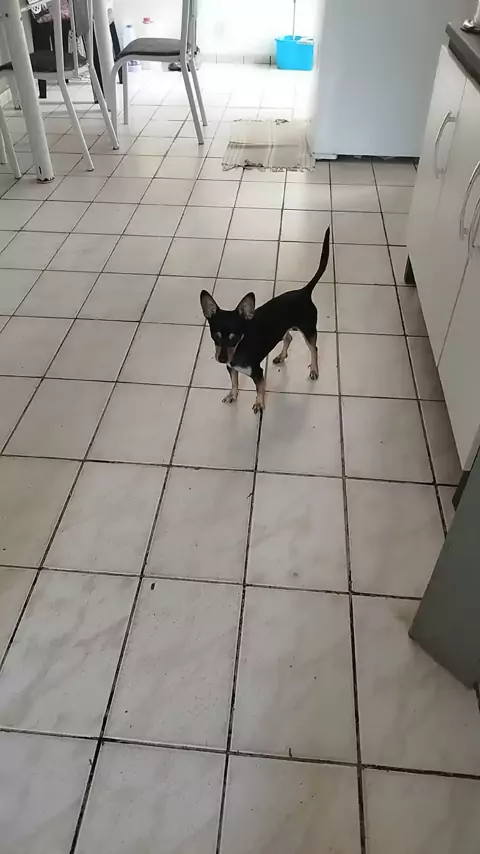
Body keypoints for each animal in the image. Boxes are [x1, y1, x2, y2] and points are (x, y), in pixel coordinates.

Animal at [200, 226, 330, 414]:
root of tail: (304, 291)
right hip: (284, 329)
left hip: (309, 330)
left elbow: (260, 388)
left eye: (234, 337)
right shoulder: (231, 368)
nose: (222, 359)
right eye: (215, 335)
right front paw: (233, 395)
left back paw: (314, 370)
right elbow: (235, 382)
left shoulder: (258, 372)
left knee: (314, 349)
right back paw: (281, 356)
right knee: (288, 338)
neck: (239, 348)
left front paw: (259, 404)